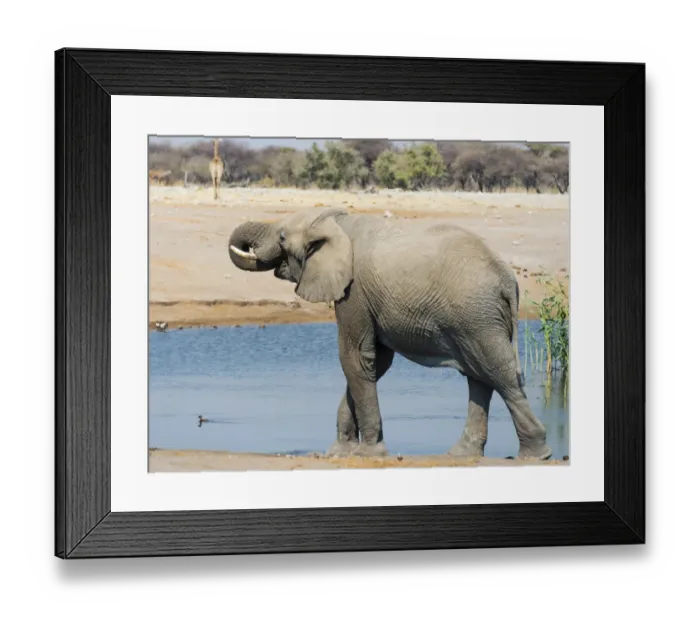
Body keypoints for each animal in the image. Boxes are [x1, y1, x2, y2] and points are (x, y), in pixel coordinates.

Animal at [227, 207, 552, 461]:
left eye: (282, 236)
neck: (337, 222)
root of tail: (508, 279)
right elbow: (374, 363)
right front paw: (341, 452)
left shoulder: (354, 291)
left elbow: (355, 357)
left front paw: (367, 453)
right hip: (477, 319)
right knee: (479, 375)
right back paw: (462, 455)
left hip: (478, 316)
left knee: (498, 374)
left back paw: (536, 456)